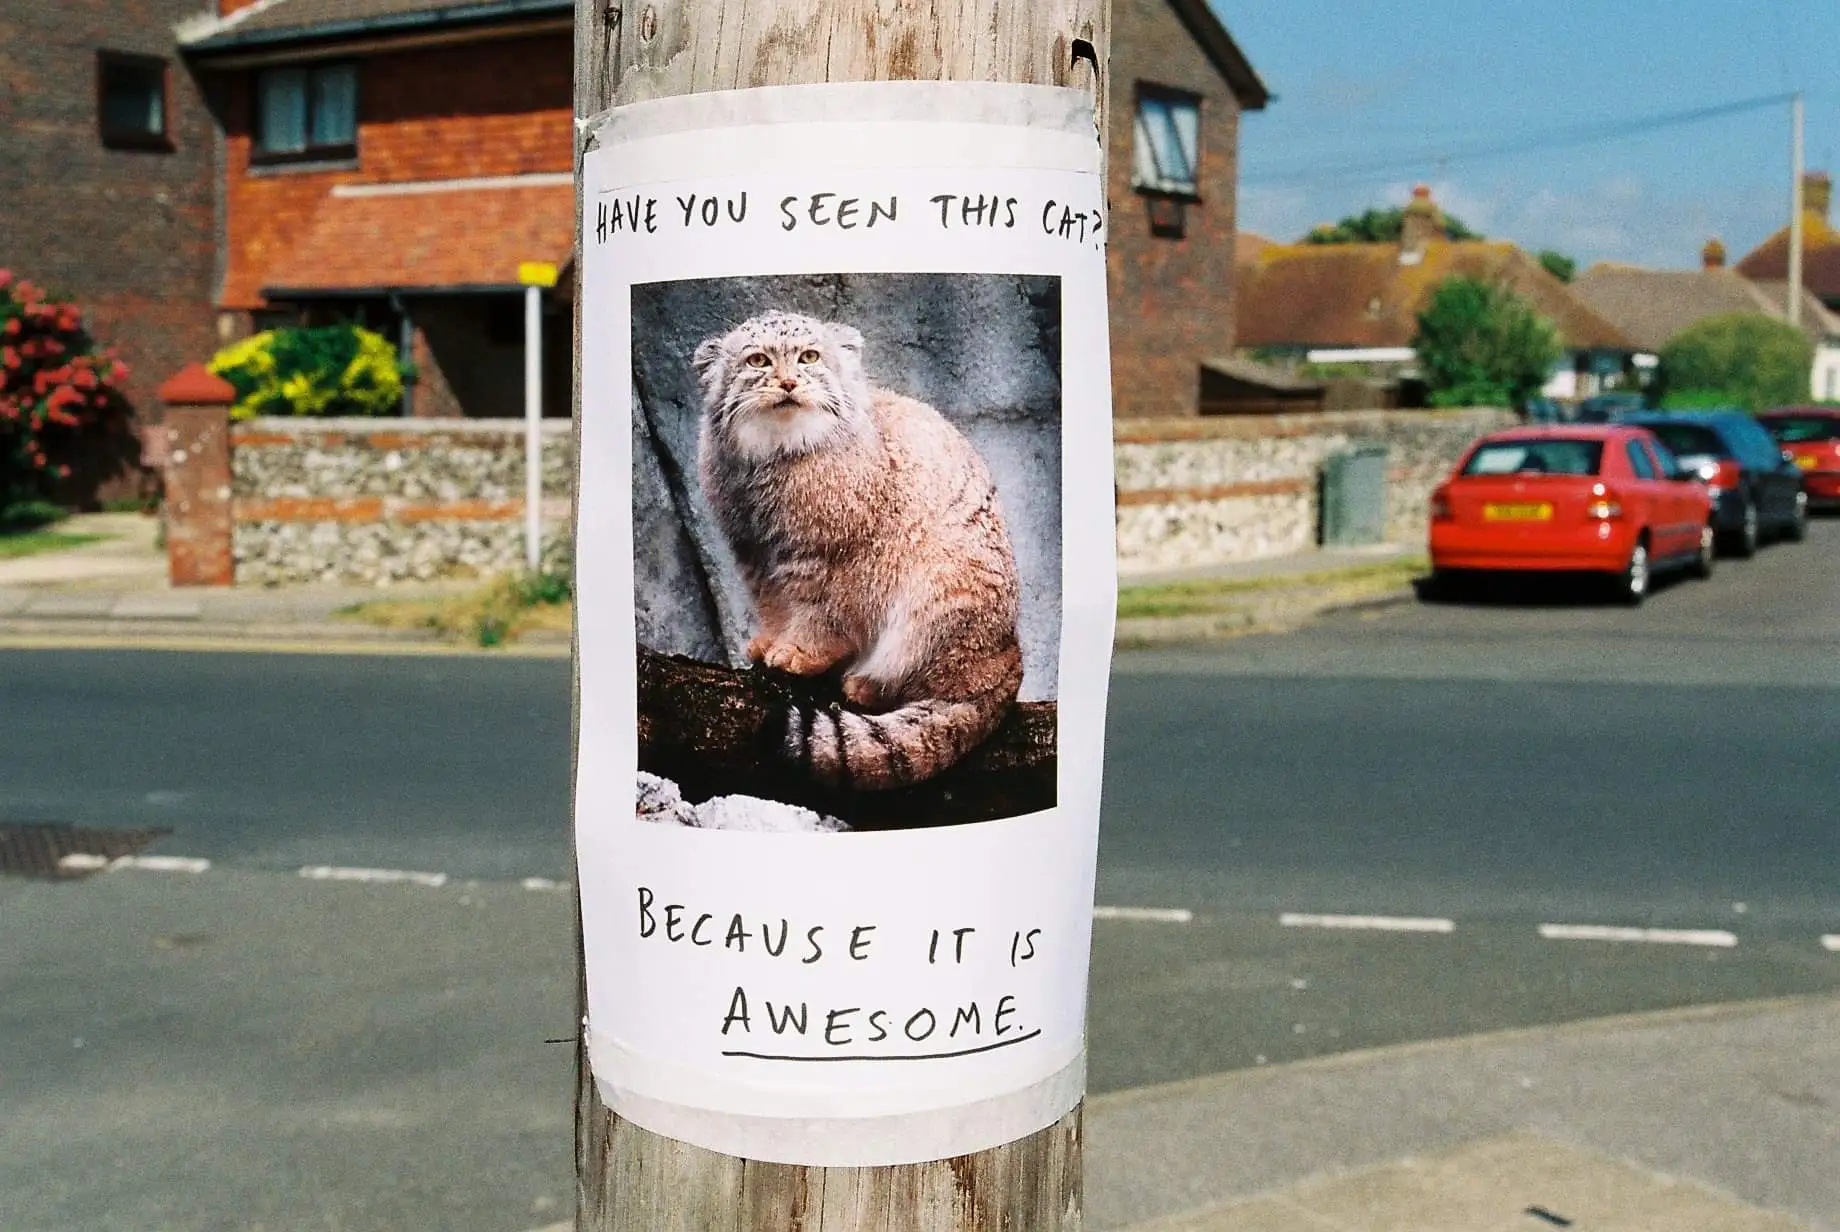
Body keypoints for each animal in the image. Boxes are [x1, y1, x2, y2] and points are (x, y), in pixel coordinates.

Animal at [695, 308, 1030, 790]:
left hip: (940, 591)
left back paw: (869, 684)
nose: (789, 383)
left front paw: (802, 653)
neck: (774, 459)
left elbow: (822, 611)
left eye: (809, 356)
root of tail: (1008, 655)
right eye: (758, 361)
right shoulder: (753, 551)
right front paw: (773, 640)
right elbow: (773, 602)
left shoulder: (834, 554)